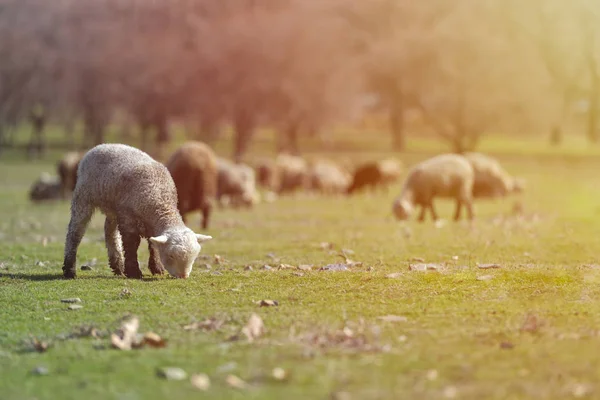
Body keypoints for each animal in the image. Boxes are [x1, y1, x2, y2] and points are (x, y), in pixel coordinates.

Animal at [62, 142, 212, 280]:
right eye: (171, 255)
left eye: (194, 257)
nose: (183, 276)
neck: (159, 199)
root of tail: (101, 146)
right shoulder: (128, 219)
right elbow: (131, 245)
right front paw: (134, 272)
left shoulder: (147, 223)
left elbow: (153, 245)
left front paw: (157, 267)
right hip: (83, 197)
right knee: (75, 233)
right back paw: (70, 270)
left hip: (114, 207)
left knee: (110, 232)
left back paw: (118, 267)